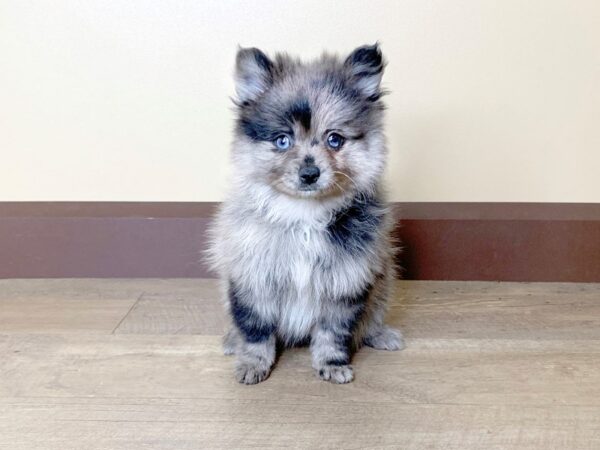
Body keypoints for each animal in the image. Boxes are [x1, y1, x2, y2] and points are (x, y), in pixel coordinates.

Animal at [209, 44, 406, 384]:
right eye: (282, 140)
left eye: (334, 139)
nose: (310, 173)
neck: (303, 215)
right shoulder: (252, 277)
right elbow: (256, 330)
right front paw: (253, 363)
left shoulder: (347, 281)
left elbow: (333, 332)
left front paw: (332, 364)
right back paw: (233, 340)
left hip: (383, 282)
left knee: (371, 317)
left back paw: (380, 334)